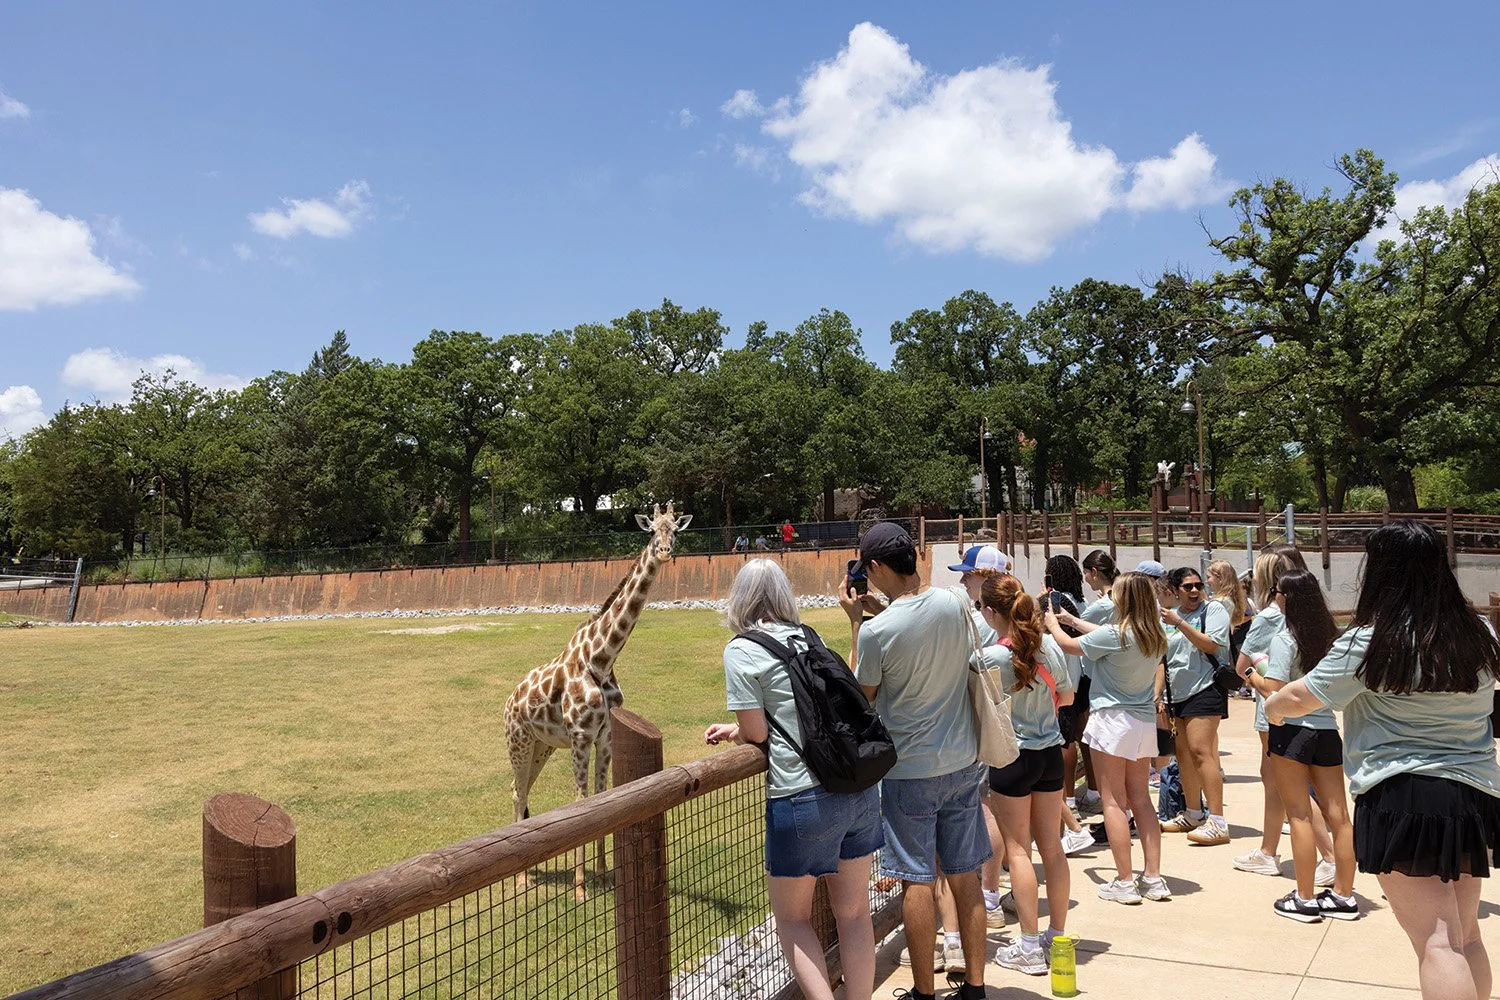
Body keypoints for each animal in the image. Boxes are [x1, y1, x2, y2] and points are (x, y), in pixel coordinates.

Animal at [503, 502, 691, 898]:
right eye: (652, 530)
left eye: (675, 530)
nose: (665, 552)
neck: (601, 659)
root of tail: (509, 701)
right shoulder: (580, 736)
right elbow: (582, 802)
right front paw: (580, 887)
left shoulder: (604, 737)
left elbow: (605, 798)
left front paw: (605, 876)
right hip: (519, 742)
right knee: (517, 789)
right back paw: (522, 879)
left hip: (542, 746)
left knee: (520, 787)